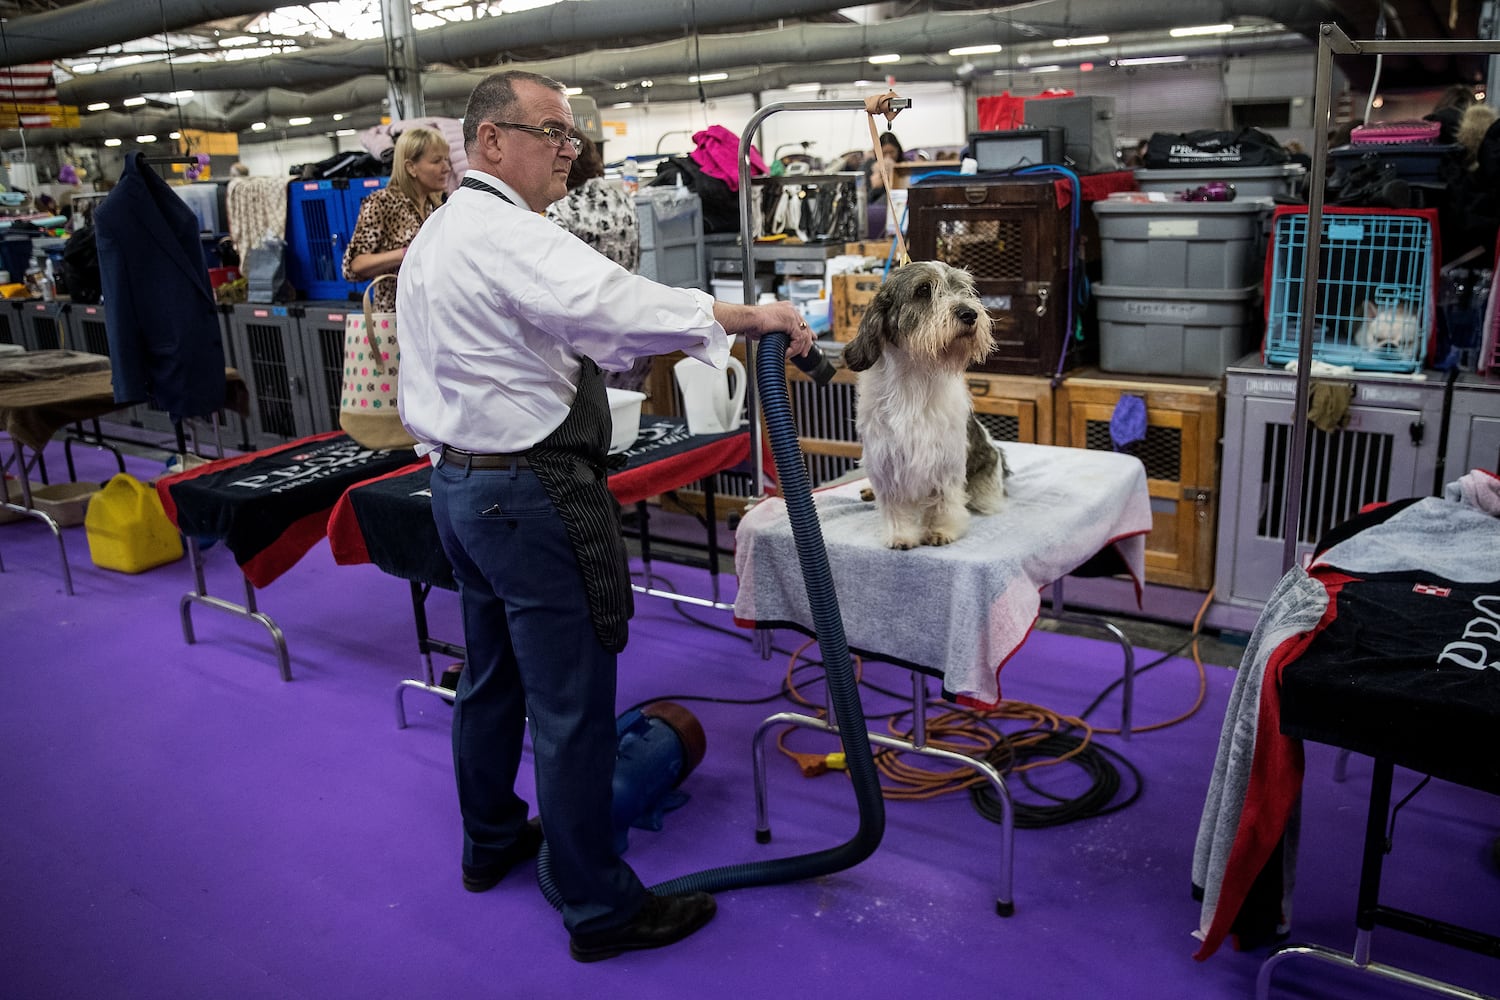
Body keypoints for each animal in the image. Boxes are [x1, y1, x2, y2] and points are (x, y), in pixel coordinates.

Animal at [843, 260, 1009, 549]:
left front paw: (941, 531)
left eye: (963, 289)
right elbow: (894, 505)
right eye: (923, 290)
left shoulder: (944, 460)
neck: (914, 380)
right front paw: (901, 535)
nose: (969, 314)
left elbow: (944, 500)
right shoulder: (885, 460)